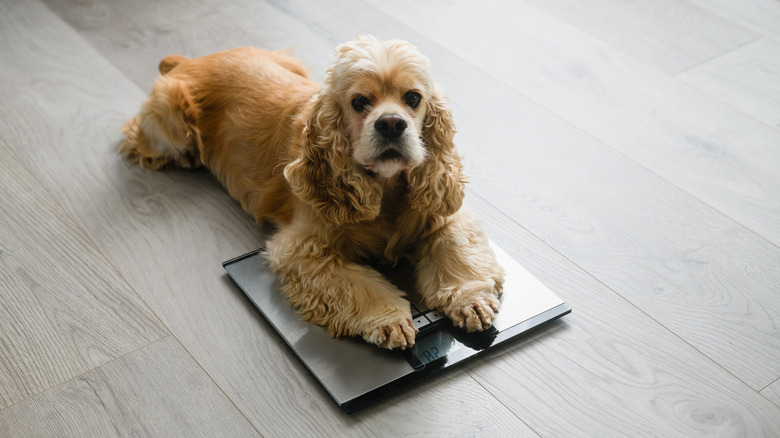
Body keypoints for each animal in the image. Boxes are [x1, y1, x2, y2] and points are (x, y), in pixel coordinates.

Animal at [119, 35, 502, 350]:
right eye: (359, 102)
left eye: (413, 98)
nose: (392, 124)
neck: (384, 188)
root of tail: (189, 60)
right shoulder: (301, 249)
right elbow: (354, 284)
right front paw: (389, 320)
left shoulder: (443, 214)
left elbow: (454, 248)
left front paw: (470, 299)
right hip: (173, 118)